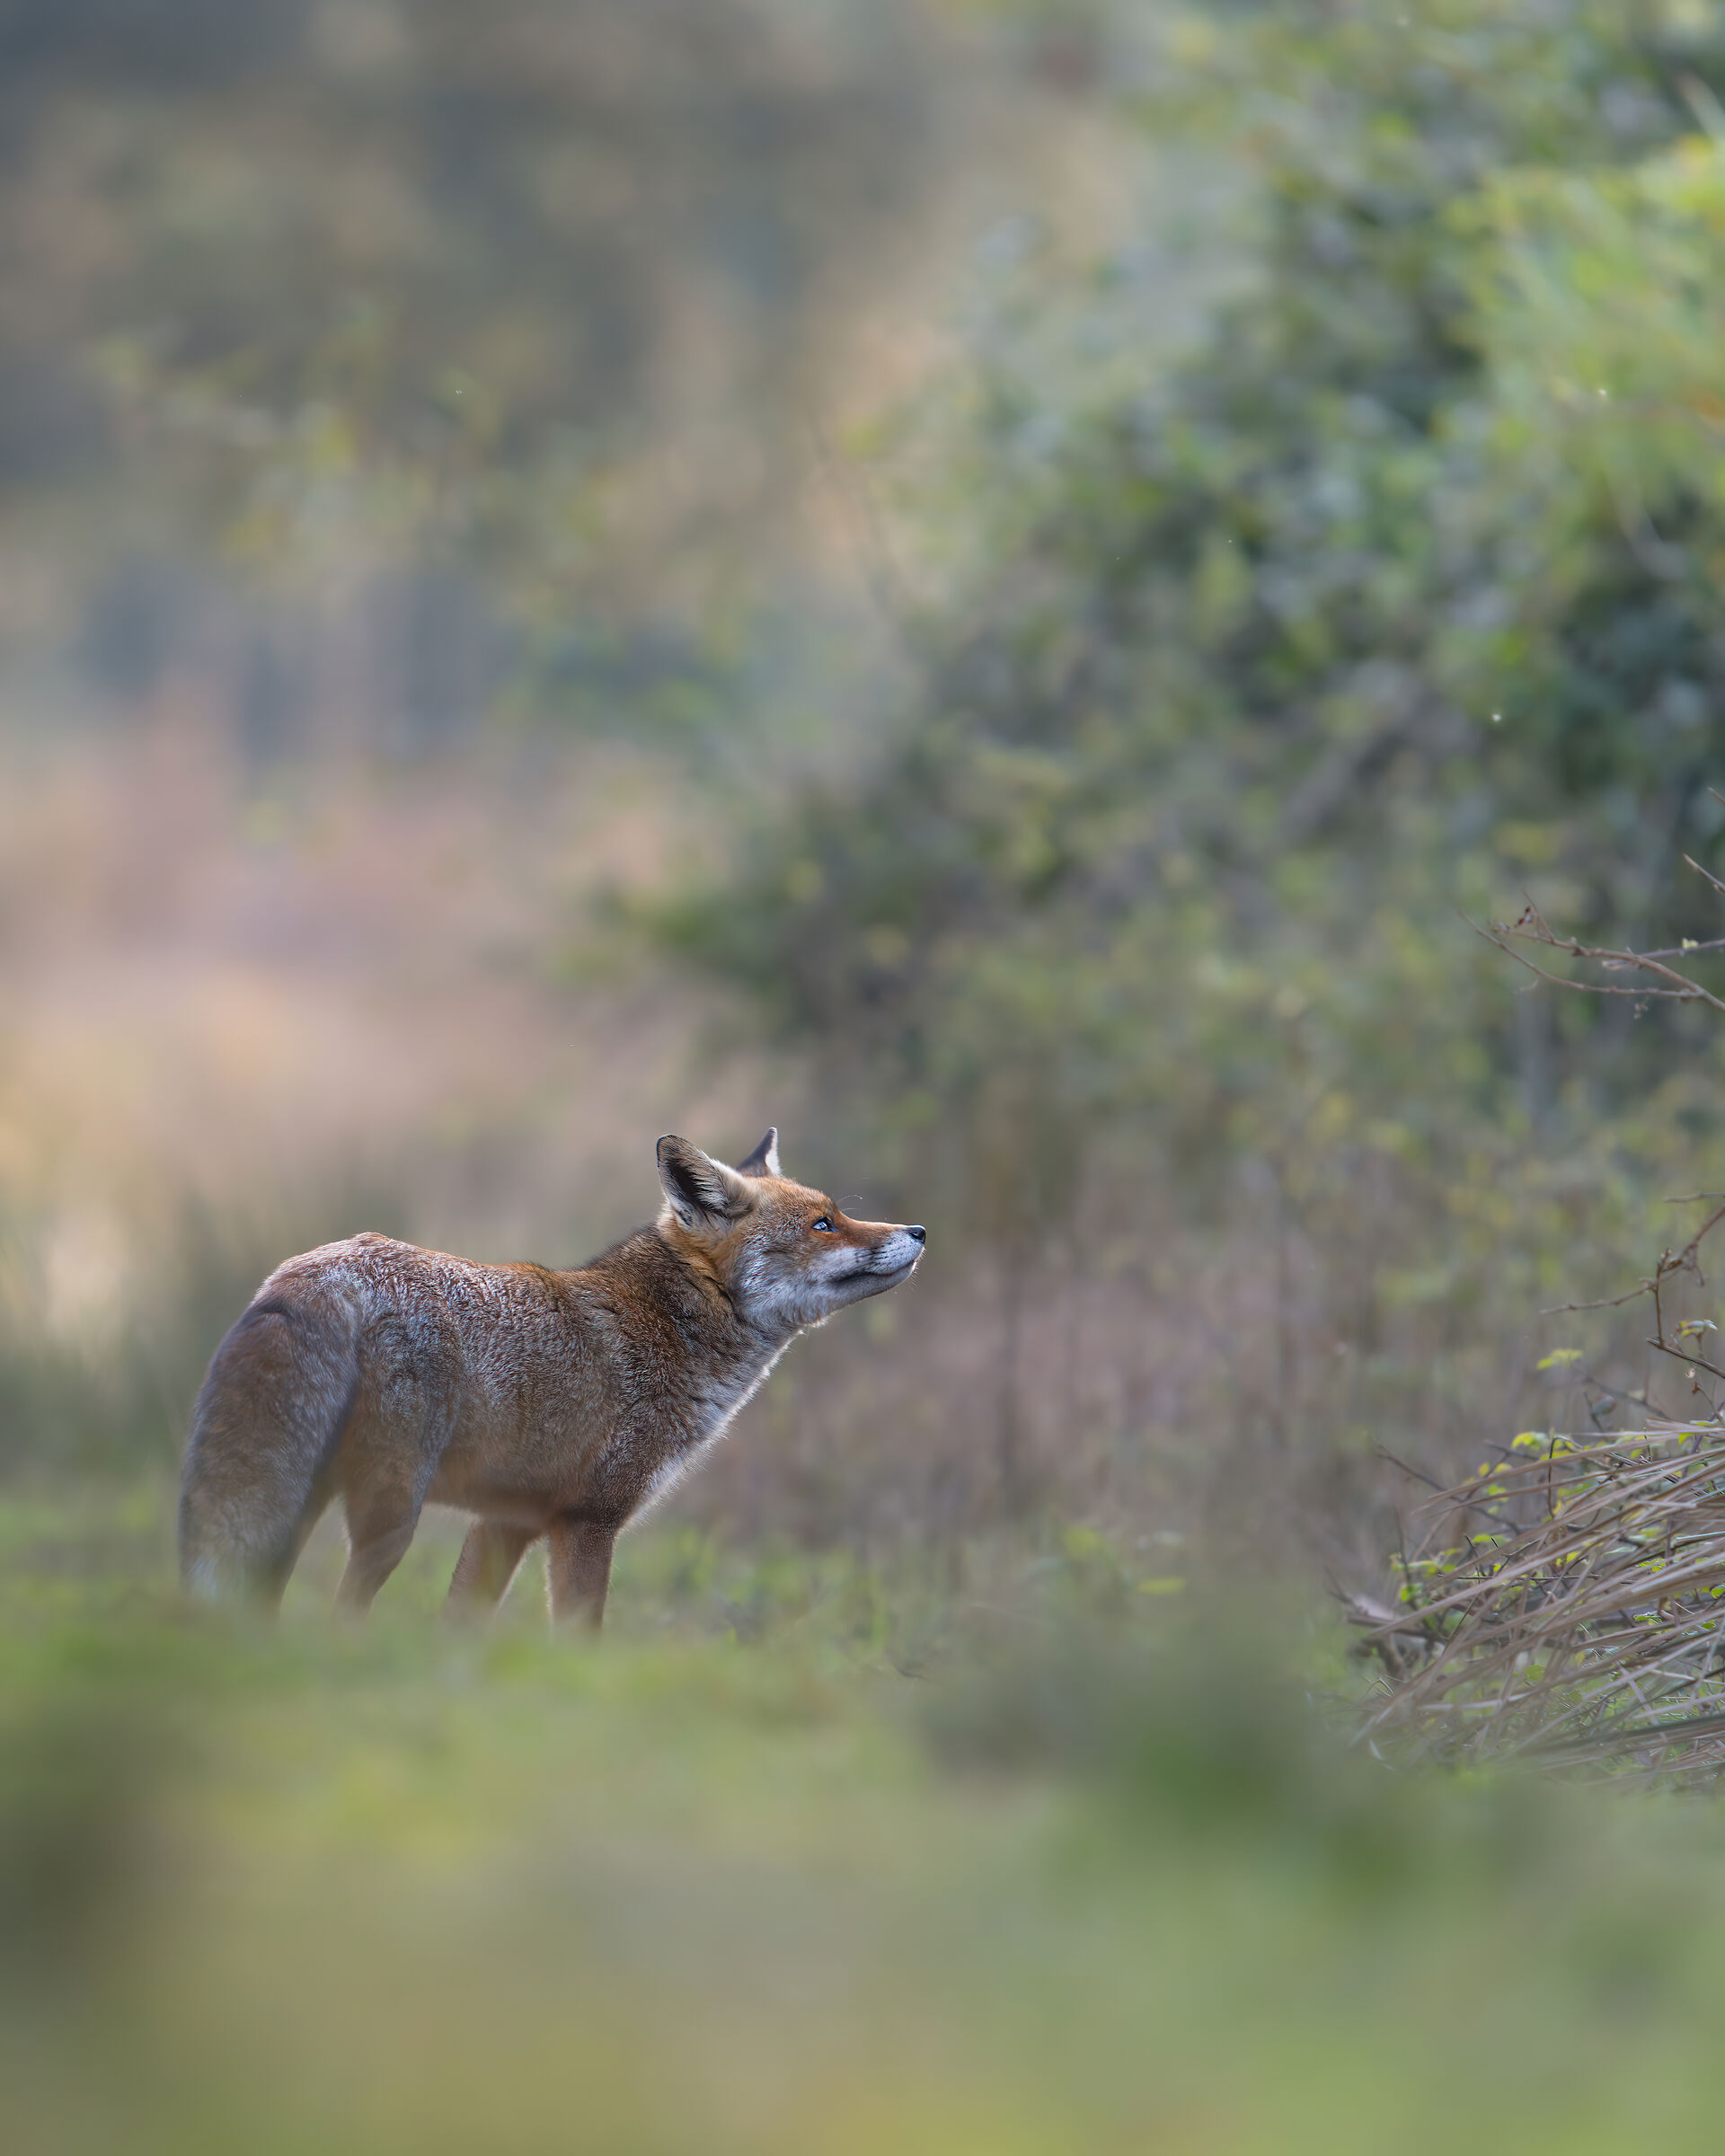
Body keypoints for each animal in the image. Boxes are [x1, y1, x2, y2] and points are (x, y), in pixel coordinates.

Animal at [178, 1130, 925, 1628]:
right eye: (823, 1224)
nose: (918, 1230)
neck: (668, 1328)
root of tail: (321, 1267)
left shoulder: (505, 1523)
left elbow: (460, 1629)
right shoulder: (588, 1521)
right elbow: (579, 1640)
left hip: (299, 1505)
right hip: (386, 1515)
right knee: (342, 1610)